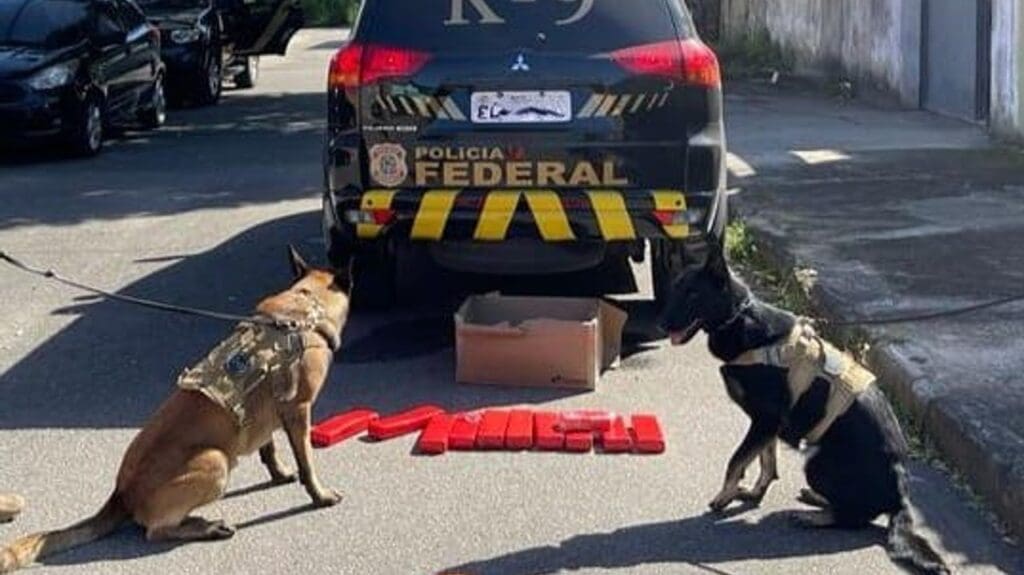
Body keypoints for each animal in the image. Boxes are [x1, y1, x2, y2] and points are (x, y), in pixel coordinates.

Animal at [2, 245, 350, 568]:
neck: (306, 306)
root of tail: (122, 493)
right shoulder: (299, 410)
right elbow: (307, 463)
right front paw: (320, 495)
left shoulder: (265, 414)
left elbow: (268, 448)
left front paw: (279, 474)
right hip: (215, 461)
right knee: (154, 531)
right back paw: (206, 527)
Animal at [659, 242, 946, 572]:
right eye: (675, 290)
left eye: (693, 294)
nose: (661, 323)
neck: (741, 320)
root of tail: (901, 496)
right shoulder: (768, 425)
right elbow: (765, 461)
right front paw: (754, 492)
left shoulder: (765, 420)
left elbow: (737, 460)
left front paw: (724, 496)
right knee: (853, 507)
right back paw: (817, 500)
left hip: (816, 461)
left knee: (855, 518)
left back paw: (816, 515)